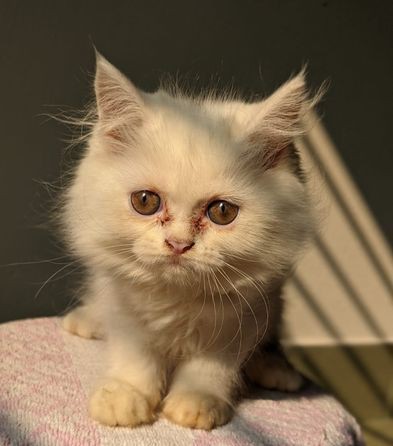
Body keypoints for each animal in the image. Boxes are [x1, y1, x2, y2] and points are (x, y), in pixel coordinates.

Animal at [62, 54, 316, 430]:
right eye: (145, 202)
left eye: (222, 212)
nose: (179, 243)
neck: (177, 300)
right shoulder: (125, 310)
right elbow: (134, 356)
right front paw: (126, 396)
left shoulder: (240, 321)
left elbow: (209, 368)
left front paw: (196, 403)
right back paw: (85, 321)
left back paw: (276, 370)